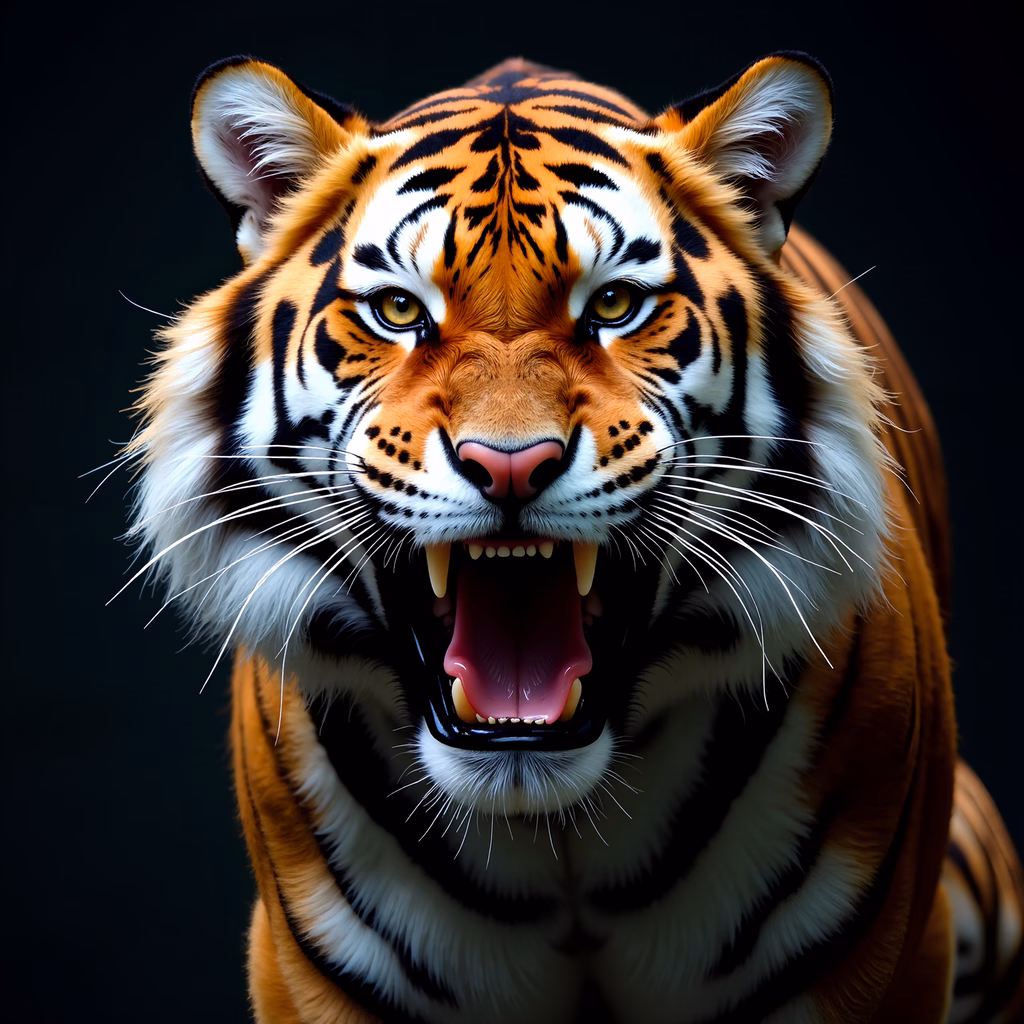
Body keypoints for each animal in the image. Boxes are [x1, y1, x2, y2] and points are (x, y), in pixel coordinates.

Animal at [122, 52, 1024, 1022]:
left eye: (617, 304)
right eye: (398, 310)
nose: (511, 465)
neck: (555, 833)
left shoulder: (889, 957)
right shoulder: (308, 975)